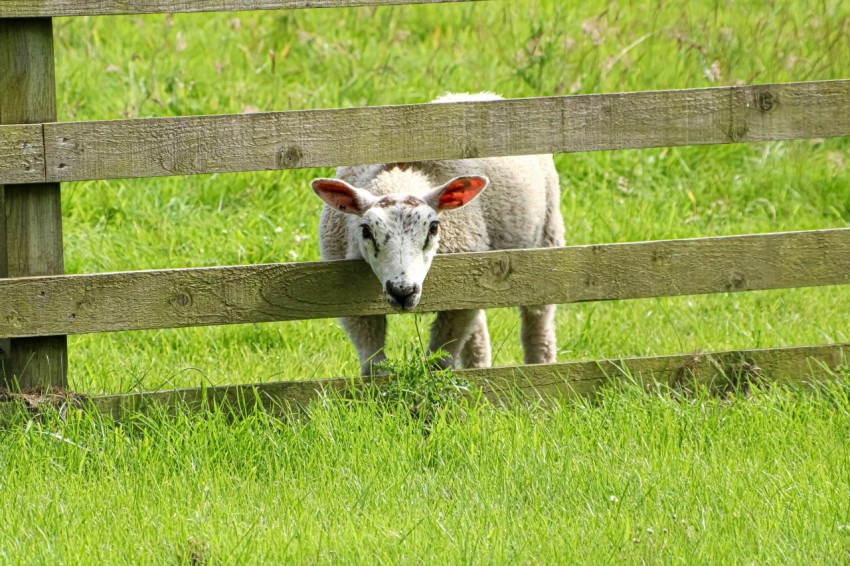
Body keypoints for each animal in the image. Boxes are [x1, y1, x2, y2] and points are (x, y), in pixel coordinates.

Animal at [312, 93, 564, 378]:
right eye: (365, 230)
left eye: (433, 228)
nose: (402, 291)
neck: (401, 174)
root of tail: (479, 96)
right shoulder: (351, 305)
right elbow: (373, 365)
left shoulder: (458, 300)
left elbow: (439, 364)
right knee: (477, 334)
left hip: (545, 240)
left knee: (538, 321)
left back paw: (540, 366)